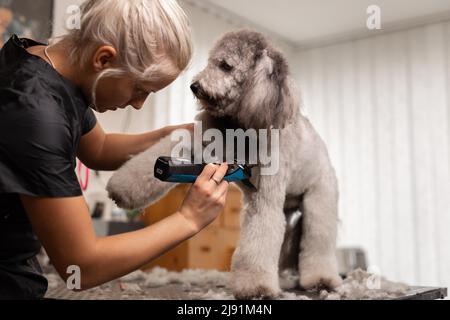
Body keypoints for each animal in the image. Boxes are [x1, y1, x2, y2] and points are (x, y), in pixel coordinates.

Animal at [108, 30, 342, 300]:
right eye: (211, 61)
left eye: (226, 66)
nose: (195, 86)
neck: (241, 127)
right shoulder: (199, 143)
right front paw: (122, 189)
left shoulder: (264, 196)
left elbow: (259, 237)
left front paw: (256, 287)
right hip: (286, 208)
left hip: (318, 201)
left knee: (317, 241)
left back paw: (321, 279)